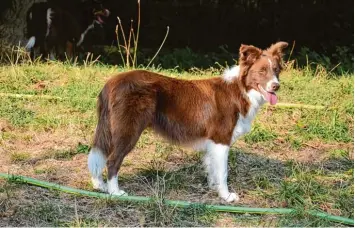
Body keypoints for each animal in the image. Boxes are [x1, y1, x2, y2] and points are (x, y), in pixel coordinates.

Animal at [88, 41, 290, 202]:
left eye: (276, 70)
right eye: (262, 71)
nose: (276, 86)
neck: (240, 90)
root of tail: (111, 82)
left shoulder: (212, 142)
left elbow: (212, 169)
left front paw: (214, 188)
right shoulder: (221, 139)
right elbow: (223, 172)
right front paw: (226, 197)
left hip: (111, 128)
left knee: (100, 152)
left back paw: (100, 185)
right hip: (129, 130)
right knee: (112, 160)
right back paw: (115, 192)